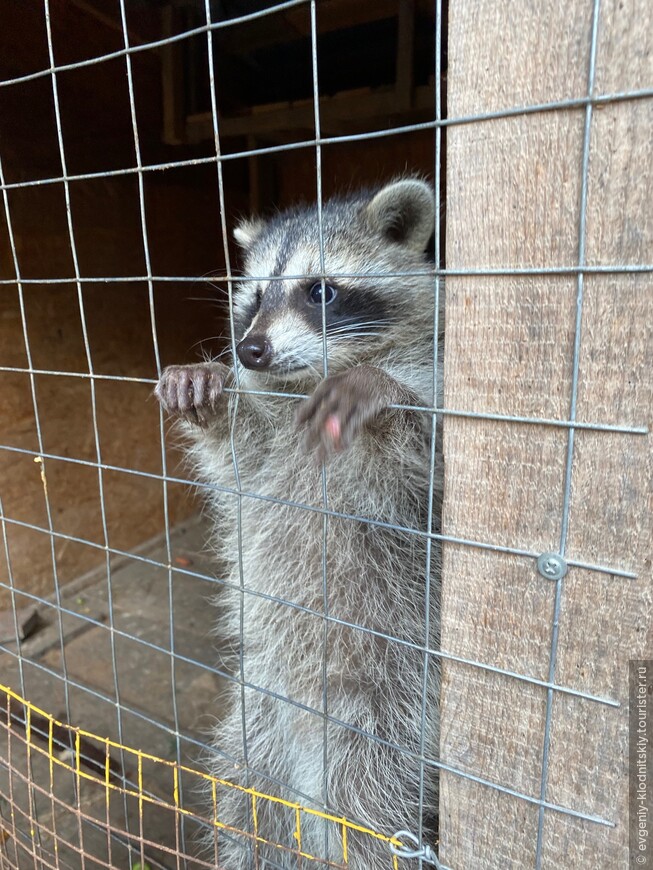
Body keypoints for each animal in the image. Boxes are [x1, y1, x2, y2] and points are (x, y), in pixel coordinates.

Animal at [157, 179, 444, 870]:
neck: (309, 381)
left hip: (389, 714)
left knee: (370, 817)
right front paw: (210, 393)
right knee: (246, 800)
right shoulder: (266, 452)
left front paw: (379, 393)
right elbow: (240, 465)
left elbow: (417, 467)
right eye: (256, 297)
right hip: (256, 715)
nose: (250, 350)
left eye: (320, 291)